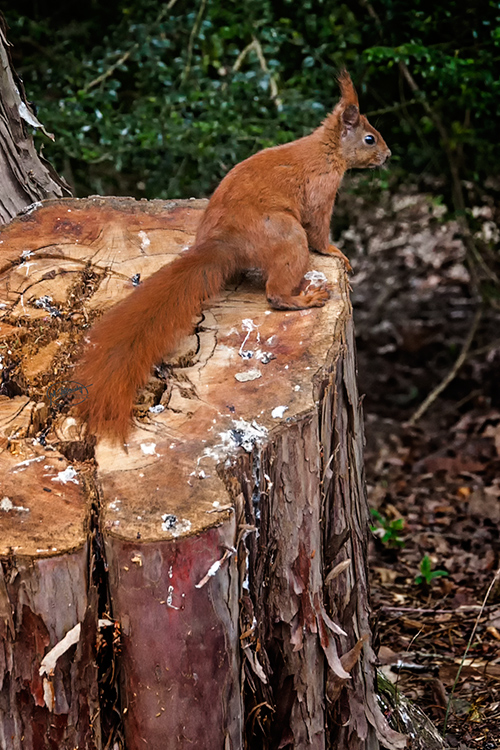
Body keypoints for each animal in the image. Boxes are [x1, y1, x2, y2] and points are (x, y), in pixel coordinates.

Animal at [74, 70, 390, 440]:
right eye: (370, 138)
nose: (388, 155)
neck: (326, 149)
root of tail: (223, 242)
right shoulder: (320, 191)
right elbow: (319, 231)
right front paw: (337, 253)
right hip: (287, 235)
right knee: (275, 294)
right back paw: (305, 298)